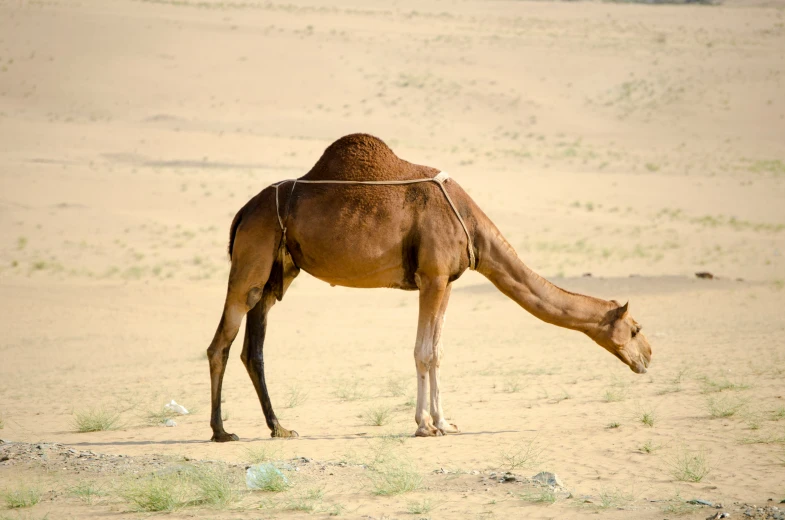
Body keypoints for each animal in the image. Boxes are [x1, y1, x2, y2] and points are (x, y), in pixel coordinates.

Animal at [205, 132, 652, 440]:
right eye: (635, 329)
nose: (648, 358)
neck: (472, 225)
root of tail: (243, 211)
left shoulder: (445, 280)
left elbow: (436, 351)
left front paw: (443, 420)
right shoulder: (433, 277)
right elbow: (424, 352)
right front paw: (425, 425)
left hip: (277, 272)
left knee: (253, 348)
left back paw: (279, 427)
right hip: (251, 259)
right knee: (221, 342)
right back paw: (222, 431)